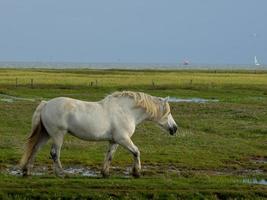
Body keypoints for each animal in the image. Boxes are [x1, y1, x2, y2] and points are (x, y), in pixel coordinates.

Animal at [20, 91, 178, 177]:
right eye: (168, 112)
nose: (175, 128)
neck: (126, 110)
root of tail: (46, 104)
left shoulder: (114, 141)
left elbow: (109, 156)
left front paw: (105, 173)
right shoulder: (123, 139)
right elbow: (136, 152)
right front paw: (136, 172)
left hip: (46, 134)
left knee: (35, 149)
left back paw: (27, 171)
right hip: (58, 135)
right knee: (54, 153)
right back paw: (62, 173)